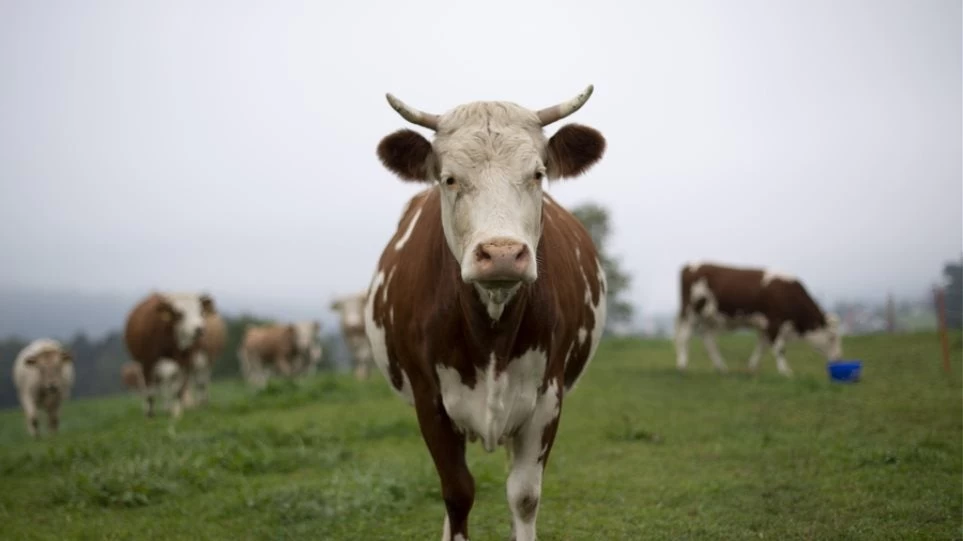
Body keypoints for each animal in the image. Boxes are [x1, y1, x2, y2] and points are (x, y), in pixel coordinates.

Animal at [366, 84, 608, 540]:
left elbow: (524, 495)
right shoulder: (429, 400)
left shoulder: (547, 398)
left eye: (537, 174)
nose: (502, 254)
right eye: (449, 178)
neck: (491, 330)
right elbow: (457, 493)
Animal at [672, 262, 844, 376]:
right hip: (691, 313)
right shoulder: (774, 322)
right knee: (685, 337)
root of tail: (690, 265)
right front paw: (786, 371)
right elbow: (780, 348)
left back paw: (721, 367)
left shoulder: (764, 326)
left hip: (708, 318)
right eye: (831, 337)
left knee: (709, 341)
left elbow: (762, 348)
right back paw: (682, 365)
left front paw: (752, 367)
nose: (838, 358)